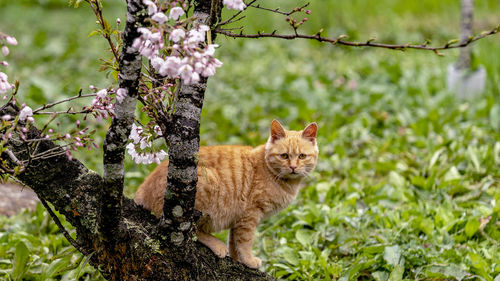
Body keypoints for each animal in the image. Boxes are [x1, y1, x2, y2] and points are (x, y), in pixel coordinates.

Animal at [135, 119, 318, 268]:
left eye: (302, 156)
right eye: (284, 156)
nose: (293, 167)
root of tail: (142, 188)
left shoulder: (238, 219)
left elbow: (234, 241)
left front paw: (238, 260)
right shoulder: (250, 215)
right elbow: (245, 241)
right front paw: (249, 261)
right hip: (201, 190)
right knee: (188, 230)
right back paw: (217, 245)